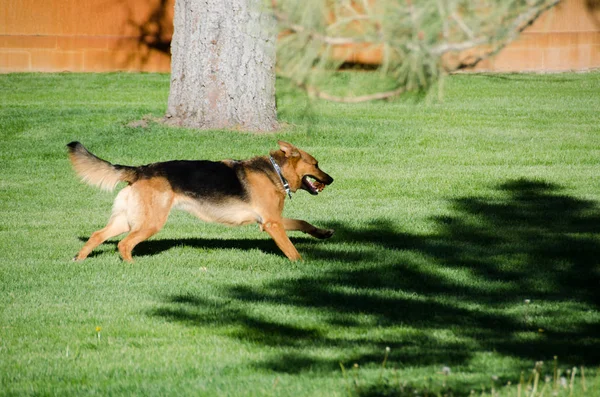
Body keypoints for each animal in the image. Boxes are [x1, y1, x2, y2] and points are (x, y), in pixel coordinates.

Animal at [69, 141, 338, 262]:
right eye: (316, 164)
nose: (332, 179)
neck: (275, 171)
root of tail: (141, 170)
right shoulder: (272, 224)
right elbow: (292, 250)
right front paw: (303, 265)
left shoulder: (271, 221)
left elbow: (303, 223)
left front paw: (322, 233)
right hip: (150, 223)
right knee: (124, 244)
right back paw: (132, 265)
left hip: (128, 219)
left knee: (98, 235)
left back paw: (79, 259)